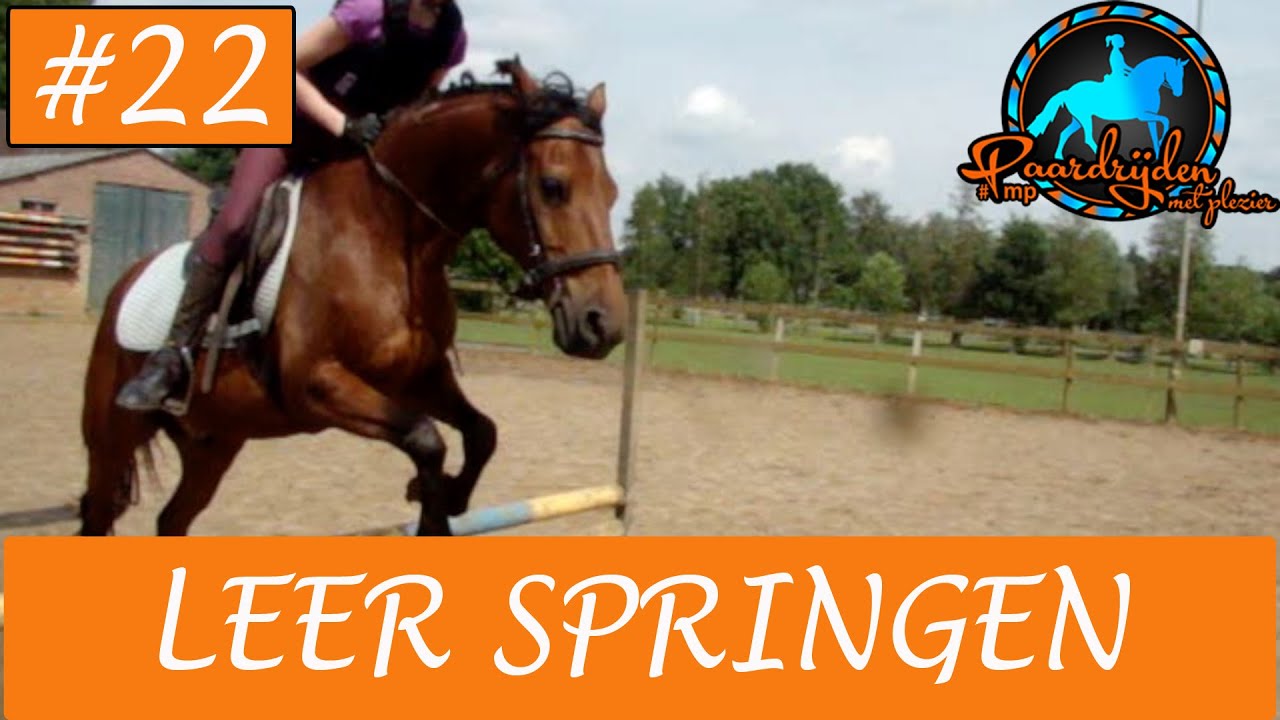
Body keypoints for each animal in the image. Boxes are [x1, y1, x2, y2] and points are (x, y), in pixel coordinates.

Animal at [77, 57, 628, 537]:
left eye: (613, 192)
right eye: (553, 186)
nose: (603, 325)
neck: (389, 234)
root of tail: (126, 279)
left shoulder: (421, 378)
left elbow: (482, 433)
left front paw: (448, 499)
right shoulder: (318, 385)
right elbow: (427, 439)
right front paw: (430, 509)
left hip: (214, 441)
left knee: (173, 520)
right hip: (114, 435)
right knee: (98, 513)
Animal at [1027, 55, 1189, 160]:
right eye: (1176, 73)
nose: (1179, 93)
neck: (1143, 84)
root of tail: (1068, 91)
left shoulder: (1149, 117)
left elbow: (1156, 132)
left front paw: (1159, 149)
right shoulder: (1143, 115)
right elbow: (1165, 120)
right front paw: (1162, 142)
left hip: (1077, 120)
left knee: (1064, 133)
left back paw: (1059, 157)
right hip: (1084, 118)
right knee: (1087, 138)